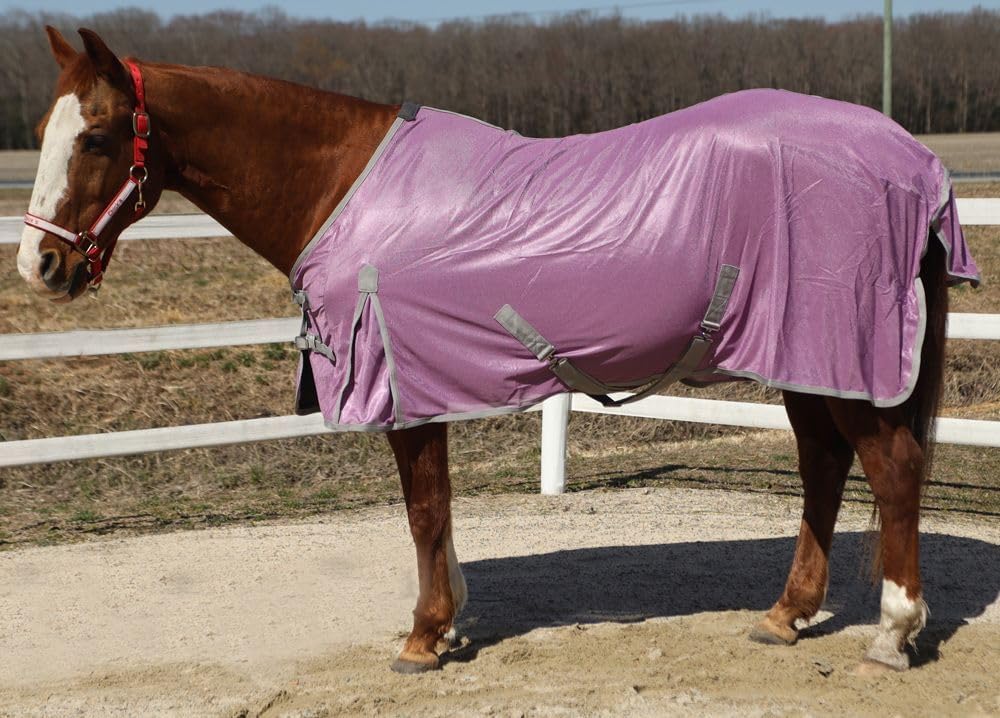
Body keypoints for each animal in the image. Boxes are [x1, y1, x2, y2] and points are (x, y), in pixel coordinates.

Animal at [16, 27, 980, 675]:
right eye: (42, 134)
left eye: (97, 136)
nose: (40, 265)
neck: (343, 184)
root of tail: (915, 162)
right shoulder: (424, 384)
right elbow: (438, 512)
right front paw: (446, 621)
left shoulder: (401, 383)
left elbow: (423, 511)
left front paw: (422, 637)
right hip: (802, 356)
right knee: (824, 467)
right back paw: (786, 614)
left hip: (843, 354)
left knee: (891, 468)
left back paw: (894, 632)